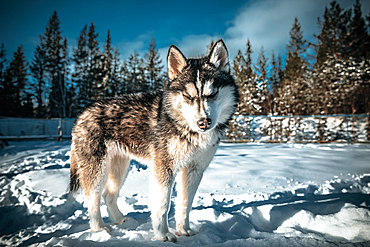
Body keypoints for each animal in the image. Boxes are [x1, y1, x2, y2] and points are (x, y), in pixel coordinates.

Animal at [68, 39, 238, 242]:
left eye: (212, 94)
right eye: (187, 96)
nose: (203, 122)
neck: (186, 129)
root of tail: (81, 114)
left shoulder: (194, 170)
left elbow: (185, 204)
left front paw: (183, 230)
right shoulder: (164, 168)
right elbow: (162, 206)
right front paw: (163, 234)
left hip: (120, 168)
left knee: (108, 195)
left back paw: (120, 221)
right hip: (98, 170)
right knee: (92, 199)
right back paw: (99, 229)